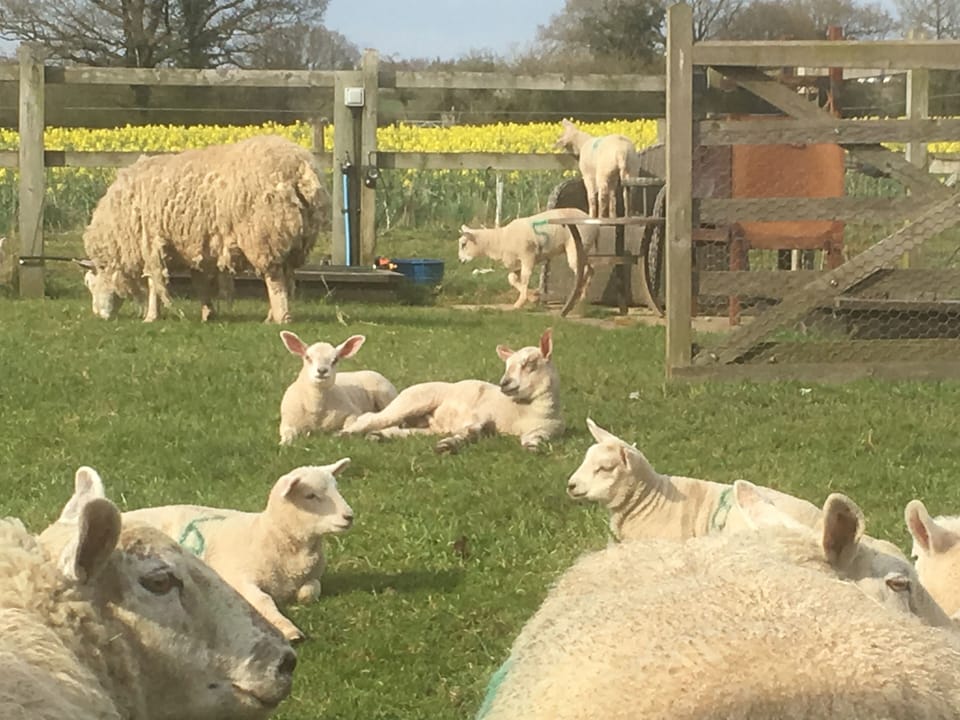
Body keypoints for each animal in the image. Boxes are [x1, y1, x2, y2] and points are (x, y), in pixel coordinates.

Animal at [80, 134, 329, 324]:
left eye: (91, 285)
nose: (99, 316)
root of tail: (300, 165)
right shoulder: (193, 246)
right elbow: (199, 282)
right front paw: (208, 312)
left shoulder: (150, 244)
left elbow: (154, 284)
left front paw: (151, 316)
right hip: (294, 237)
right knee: (286, 275)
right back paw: (272, 315)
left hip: (264, 234)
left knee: (274, 278)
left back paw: (281, 317)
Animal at [106, 461, 353, 643]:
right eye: (310, 495)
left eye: (337, 488)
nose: (349, 516)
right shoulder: (240, 578)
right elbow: (263, 600)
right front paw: (289, 630)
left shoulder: (311, 578)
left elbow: (310, 592)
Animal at [341, 328, 563, 454]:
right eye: (507, 365)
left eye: (530, 364)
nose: (504, 384)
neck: (521, 413)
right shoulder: (483, 413)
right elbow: (472, 430)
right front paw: (448, 445)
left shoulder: (545, 430)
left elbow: (534, 440)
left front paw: (532, 448)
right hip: (413, 401)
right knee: (372, 418)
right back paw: (348, 432)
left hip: (429, 427)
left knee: (399, 430)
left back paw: (377, 436)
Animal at [457, 208, 598, 309]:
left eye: (463, 244)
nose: (460, 261)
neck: (500, 240)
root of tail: (591, 220)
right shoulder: (516, 263)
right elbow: (512, 279)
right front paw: (533, 296)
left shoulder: (528, 257)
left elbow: (525, 279)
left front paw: (520, 303)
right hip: (584, 249)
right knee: (590, 269)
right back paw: (583, 297)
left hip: (576, 246)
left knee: (582, 270)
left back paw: (578, 296)